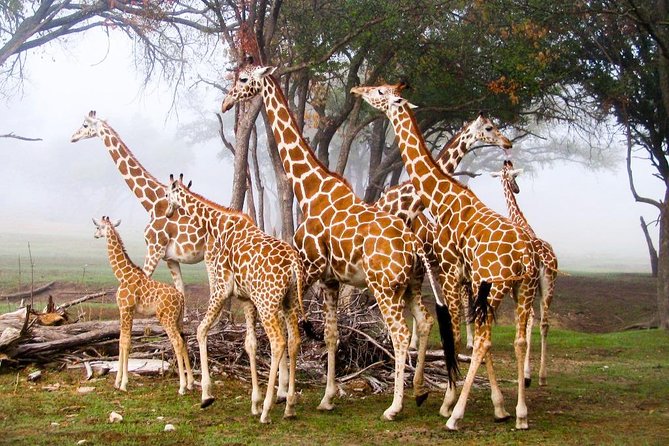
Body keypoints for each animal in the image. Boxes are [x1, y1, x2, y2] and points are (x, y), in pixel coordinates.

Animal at [71, 111, 208, 311]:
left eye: (84, 125)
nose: (72, 137)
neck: (152, 203)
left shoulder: (154, 248)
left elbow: (144, 279)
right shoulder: (170, 258)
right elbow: (181, 291)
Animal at [92, 216, 194, 395]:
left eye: (98, 227)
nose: (95, 235)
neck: (122, 275)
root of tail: (181, 297)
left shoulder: (127, 309)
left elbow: (126, 342)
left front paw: (124, 383)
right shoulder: (124, 310)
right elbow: (121, 341)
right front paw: (117, 382)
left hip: (166, 318)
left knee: (177, 342)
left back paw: (181, 387)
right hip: (178, 319)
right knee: (184, 340)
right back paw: (190, 383)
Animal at [165, 175, 304, 424]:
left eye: (165, 193)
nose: (168, 212)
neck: (218, 225)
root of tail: (293, 264)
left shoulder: (221, 288)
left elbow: (200, 330)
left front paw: (206, 395)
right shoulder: (246, 300)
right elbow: (250, 344)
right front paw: (254, 403)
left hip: (267, 303)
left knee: (278, 342)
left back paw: (268, 411)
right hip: (289, 302)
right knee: (294, 341)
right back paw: (289, 406)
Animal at [221, 60, 458, 421]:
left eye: (244, 79)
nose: (226, 103)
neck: (309, 187)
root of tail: (415, 242)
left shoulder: (308, 268)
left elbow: (292, 331)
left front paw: (284, 396)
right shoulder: (330, 280)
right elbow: (331, 335)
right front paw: (327, 397)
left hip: (385, 288)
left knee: (401, 334)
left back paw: (395, 406)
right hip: (411, 285)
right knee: (426, 321)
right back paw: (423, 393)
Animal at [491, 160, 559, 386]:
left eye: (515, 176)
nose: (517, 189)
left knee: (531, 319)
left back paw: (529, 375)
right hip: (549, 285)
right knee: (544, 323)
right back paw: (542, 377)